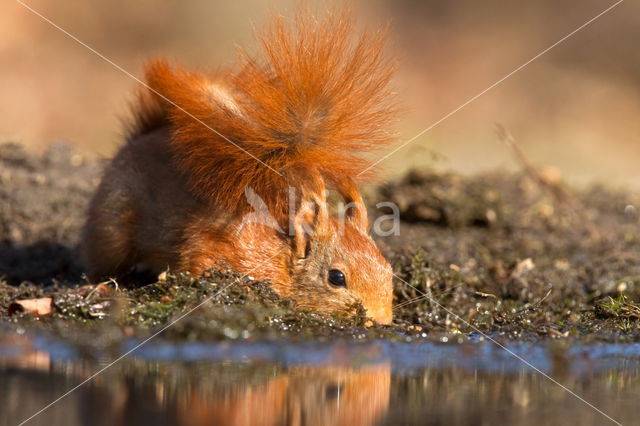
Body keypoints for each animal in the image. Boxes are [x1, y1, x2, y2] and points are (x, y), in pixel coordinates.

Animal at [82, 9, 398, 322]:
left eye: (389, 269)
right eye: (336, 277)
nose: (381, 320)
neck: (279, 254)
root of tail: (143, 136)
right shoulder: (220, 250)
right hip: (112, 224)